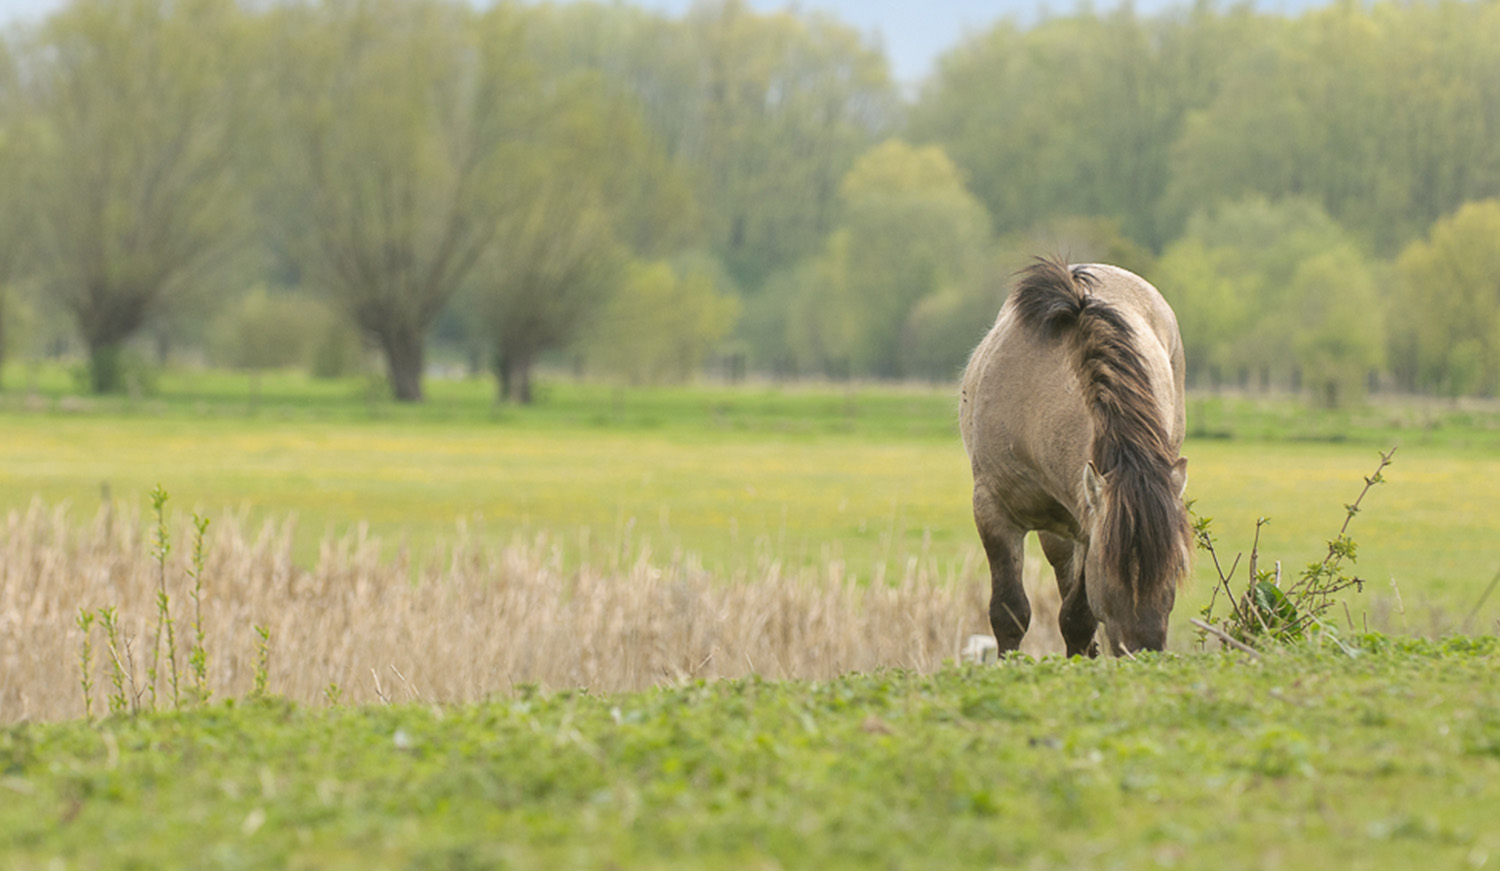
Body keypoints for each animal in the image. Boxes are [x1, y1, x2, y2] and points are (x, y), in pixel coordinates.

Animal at [960, 254, 1194, 656]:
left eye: (1176, 565)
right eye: (1113, 566)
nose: (1145, 651)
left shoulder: (1087, 526)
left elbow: (1077, 619)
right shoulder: (992, 511)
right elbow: (1009, 611)